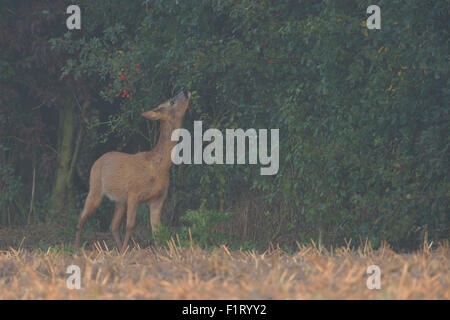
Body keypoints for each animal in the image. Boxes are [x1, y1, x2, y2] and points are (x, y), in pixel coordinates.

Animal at [74, 89, 191, 251]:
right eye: (171, 101)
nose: (185, 91)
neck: (158, 167)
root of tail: (97, 160)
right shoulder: (133, 193)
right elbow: (130, 225)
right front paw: (127, 251)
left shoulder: (158, 198)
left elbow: (157, 229)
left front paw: (159, 251)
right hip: (95, 188)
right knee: (81, 217)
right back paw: (77, 248)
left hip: (119, 200)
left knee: (113, 225)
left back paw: (116, 250)